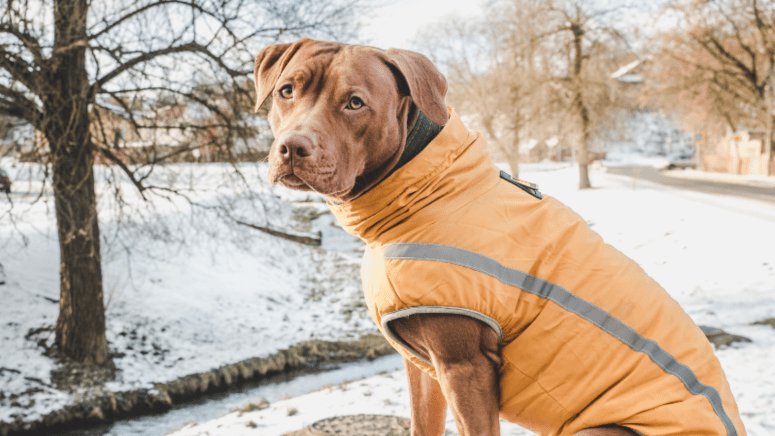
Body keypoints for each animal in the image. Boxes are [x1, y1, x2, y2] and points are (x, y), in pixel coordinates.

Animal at [255, 38, 744, 436]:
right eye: (287, 91)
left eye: (355, 103)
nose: (292, 147)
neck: (424, 190)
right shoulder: (423, 368)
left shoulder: (465, 368)